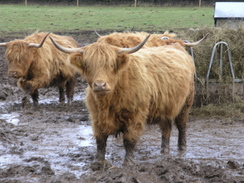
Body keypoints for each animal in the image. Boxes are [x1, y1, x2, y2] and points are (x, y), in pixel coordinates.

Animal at [50, 34, 196, 167]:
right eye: (88, 65)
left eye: (111, 64)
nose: (99, 85)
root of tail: (176, 46)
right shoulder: (96, 116)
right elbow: (100, 140)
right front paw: (99, 162)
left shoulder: (135, 116)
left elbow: (129, 140)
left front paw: (128, 162)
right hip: (165, 107)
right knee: (166, 128)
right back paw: (164, 150)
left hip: (186, 104)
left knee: (182, 126)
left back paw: (182, 148)